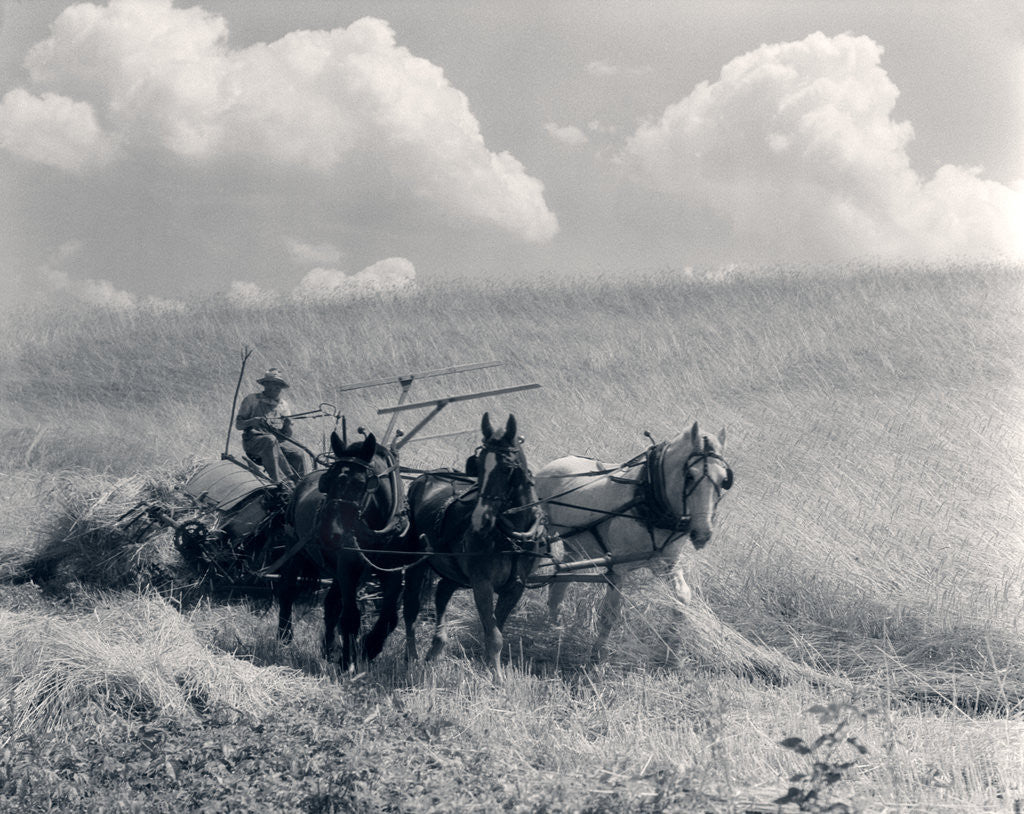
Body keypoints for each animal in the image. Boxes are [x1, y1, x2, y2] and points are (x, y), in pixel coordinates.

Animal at [276, 431, 428, 670]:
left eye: (360, 484)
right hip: (295, 549)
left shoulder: (392, 571)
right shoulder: (348, 567)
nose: (329, 533)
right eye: (327, 480)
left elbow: (389, 617)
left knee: (331, 604)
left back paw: (329, 648)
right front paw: (348, 661)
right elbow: (350, 616)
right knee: (288, 591)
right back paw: (284, 637)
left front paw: (369, 647)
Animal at [406, 413, 549, 678]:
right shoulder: (482, 583)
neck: (510, 537)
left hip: (453, 571)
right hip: (415, 564)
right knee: (410, 607)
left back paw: (436, 648)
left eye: (507, 469)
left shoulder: (515, 586)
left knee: (442, 593)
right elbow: (494, 635)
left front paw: (489, 668)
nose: (480, 520)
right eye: (479, 466)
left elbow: (495, 628)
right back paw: (411, 657)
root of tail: (424, 478)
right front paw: (497, 678)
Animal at [533, 421, 733, 659]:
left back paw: (554, 623)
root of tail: (550, 466)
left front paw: (671, 649)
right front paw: (598, 653)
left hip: (576, 545)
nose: (703, 533)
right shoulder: (617, 569)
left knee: (562, 577)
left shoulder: (667, 563)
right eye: (690, 476)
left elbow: (682, 598)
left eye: (724, 479)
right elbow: (610, 612)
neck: (649, 497)